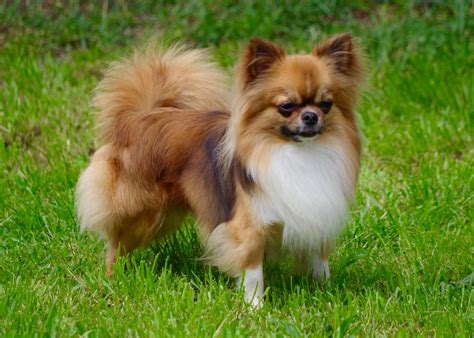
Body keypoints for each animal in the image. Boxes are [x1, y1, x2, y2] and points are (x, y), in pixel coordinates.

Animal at [76, 34, 364, 306]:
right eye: (286, 106)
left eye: (326, 104)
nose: (311, 116)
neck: (298, 153)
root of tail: (138, 117)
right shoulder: (249, 229)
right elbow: (253, 272)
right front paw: (255, 306)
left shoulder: (317, 219)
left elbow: (319, 262)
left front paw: (326, 292)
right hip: (142, 213)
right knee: (116, 245)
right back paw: (113, 278)